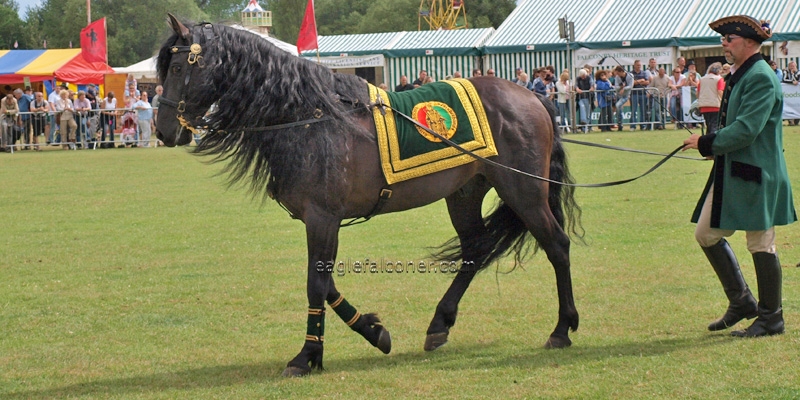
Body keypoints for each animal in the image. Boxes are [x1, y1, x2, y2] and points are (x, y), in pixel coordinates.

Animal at [156, 16, 580, 378]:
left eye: (177, 69)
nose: (162, 132)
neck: (310, 116)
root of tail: (532, 97)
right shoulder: (322, 220)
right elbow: (325, 283)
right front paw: (372, 332)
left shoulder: (323, 217)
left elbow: (316, 282)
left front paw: (307, 355)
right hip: (465, 192)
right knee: (475, 250)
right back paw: (440, 323)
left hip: (523, 191)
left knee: (557, 245)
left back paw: (562, 329)